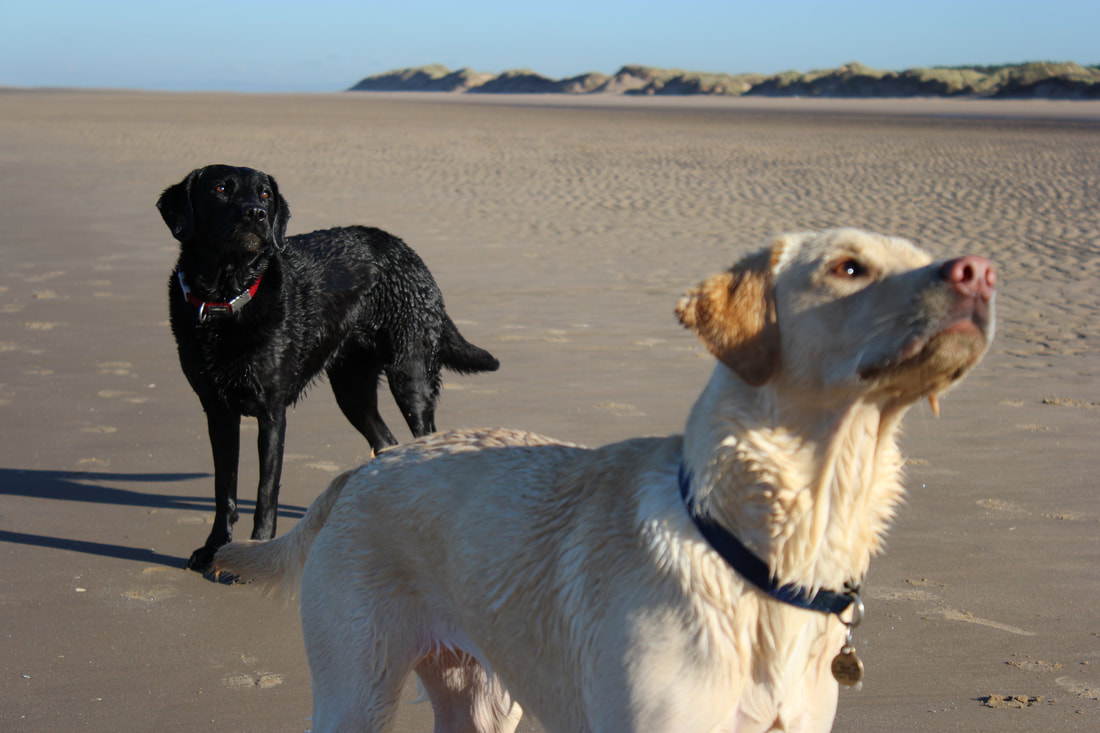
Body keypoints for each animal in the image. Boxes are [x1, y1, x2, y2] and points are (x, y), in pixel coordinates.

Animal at [157, 164, 499, 573]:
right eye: (221, 188)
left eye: (265, 194)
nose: (256, 213)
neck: (227, 300)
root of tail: (408, 251)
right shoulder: (218, 412)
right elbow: (223, 489)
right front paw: (214, 548)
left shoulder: (271, 414)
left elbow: (265, 492)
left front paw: (255, 554)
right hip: (351, 391)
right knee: (386, 443)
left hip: (411, 377)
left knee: (422, 438)